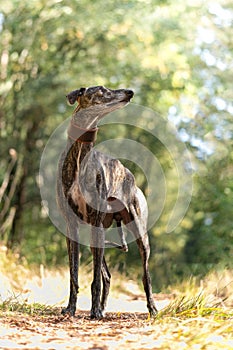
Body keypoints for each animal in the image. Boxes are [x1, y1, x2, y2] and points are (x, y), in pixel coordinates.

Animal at [57, 86, 157, 318]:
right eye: (102, 90)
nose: (130, 92)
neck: (80, 156)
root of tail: (131, 176)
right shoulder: (72, 226)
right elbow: (74, 274)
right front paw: (71, 308)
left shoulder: (95, 221)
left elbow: (94, 279)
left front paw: (94, 312)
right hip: (97, 233)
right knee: (107, 275)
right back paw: (102, 307)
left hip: (139, 234)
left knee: (145, 276)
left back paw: (152, 308)